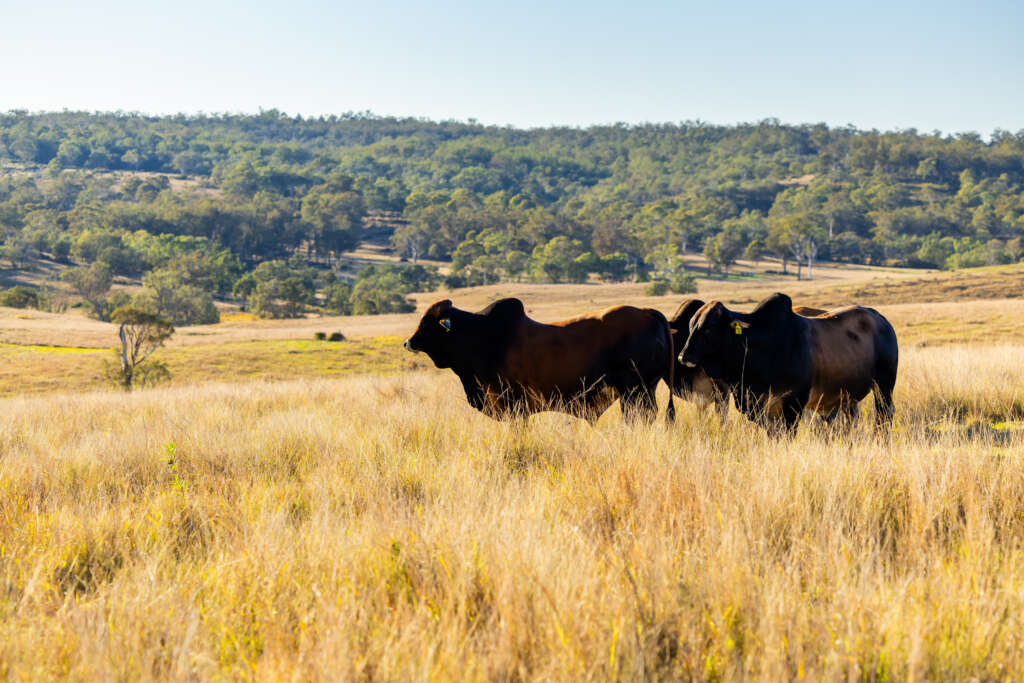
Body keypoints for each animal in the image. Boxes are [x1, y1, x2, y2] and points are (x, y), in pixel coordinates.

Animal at [403, 298, 676, 423]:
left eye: (427, 322)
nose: (407, 342)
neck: (480, 335)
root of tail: (647, 313)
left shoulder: (514, 406)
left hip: (634, 391)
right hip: (644, 390)